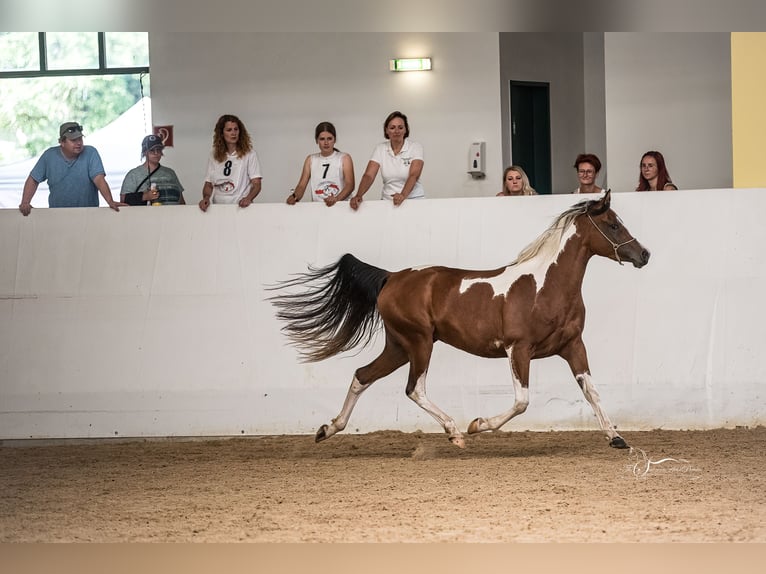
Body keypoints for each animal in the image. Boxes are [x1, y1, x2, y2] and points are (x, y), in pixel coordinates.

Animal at [268, 190, 650, 449]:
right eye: (613, 224)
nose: (644, 254)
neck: (546, 285)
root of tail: (391, 277)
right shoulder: (518, 349)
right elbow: (522, 401)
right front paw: (477, 425)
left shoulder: (572, 345)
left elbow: (591, 391)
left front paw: (616, 438)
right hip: (419, 343)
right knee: (414, 388)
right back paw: (454, 431)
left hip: (399, 346)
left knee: (363, 375)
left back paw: (328, 429)